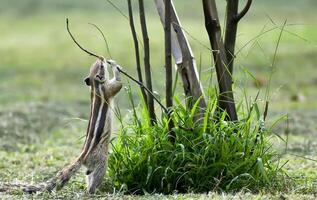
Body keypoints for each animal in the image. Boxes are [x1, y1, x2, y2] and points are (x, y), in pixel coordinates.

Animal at [0, 57, 122, 194]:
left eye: (97, 64)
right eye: (101, 66)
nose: (101, 57)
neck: (95, 87)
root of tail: (82, 156)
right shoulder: (108, 89)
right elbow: (118, 84)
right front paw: (115, 66)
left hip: (91, 167)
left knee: (89, 175)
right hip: (101, 160)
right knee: (96, 177)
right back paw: (92, 191)